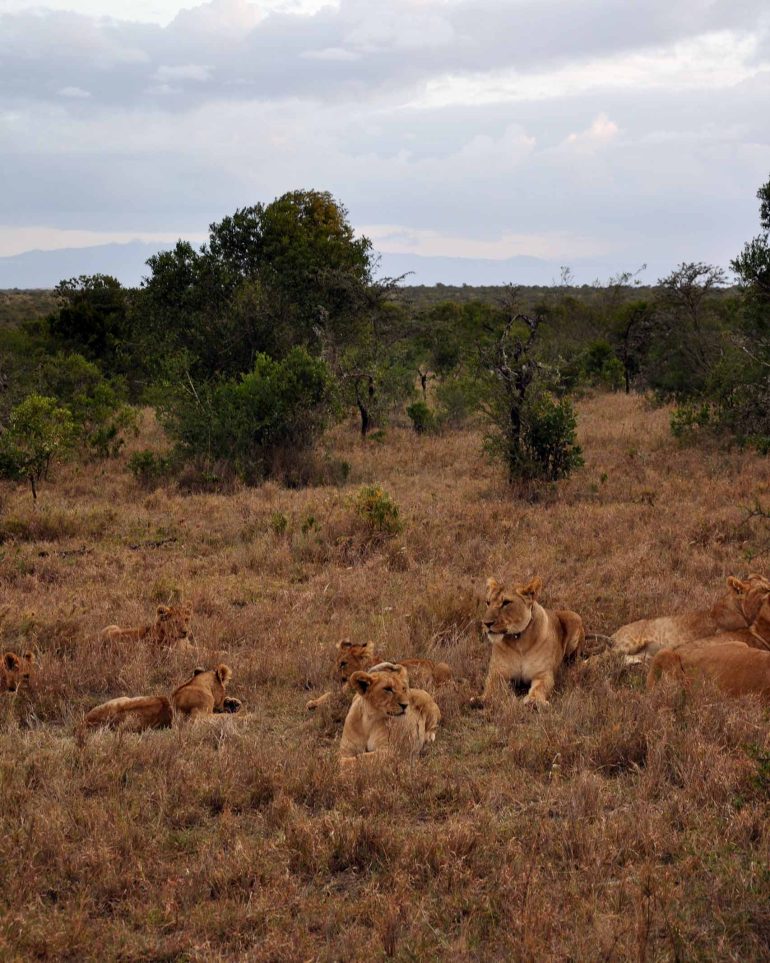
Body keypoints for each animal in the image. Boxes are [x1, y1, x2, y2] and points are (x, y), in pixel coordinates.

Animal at [306, 638, 452, 711]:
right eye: (337, 662)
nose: (330, 676)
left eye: (343, 663)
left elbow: (331, 696)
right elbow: (328, 693)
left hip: (442, 669)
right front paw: (312, 702)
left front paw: (313, 704)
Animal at [473, 576, 584, 707]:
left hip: (574, 617)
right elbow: (491, 686)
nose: (486, 623)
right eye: (488, 602)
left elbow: (539, 688)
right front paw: (482, 699)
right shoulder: (497, 672)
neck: (518, 641)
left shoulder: (543, 674)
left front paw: (534, 701)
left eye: (506, 603)